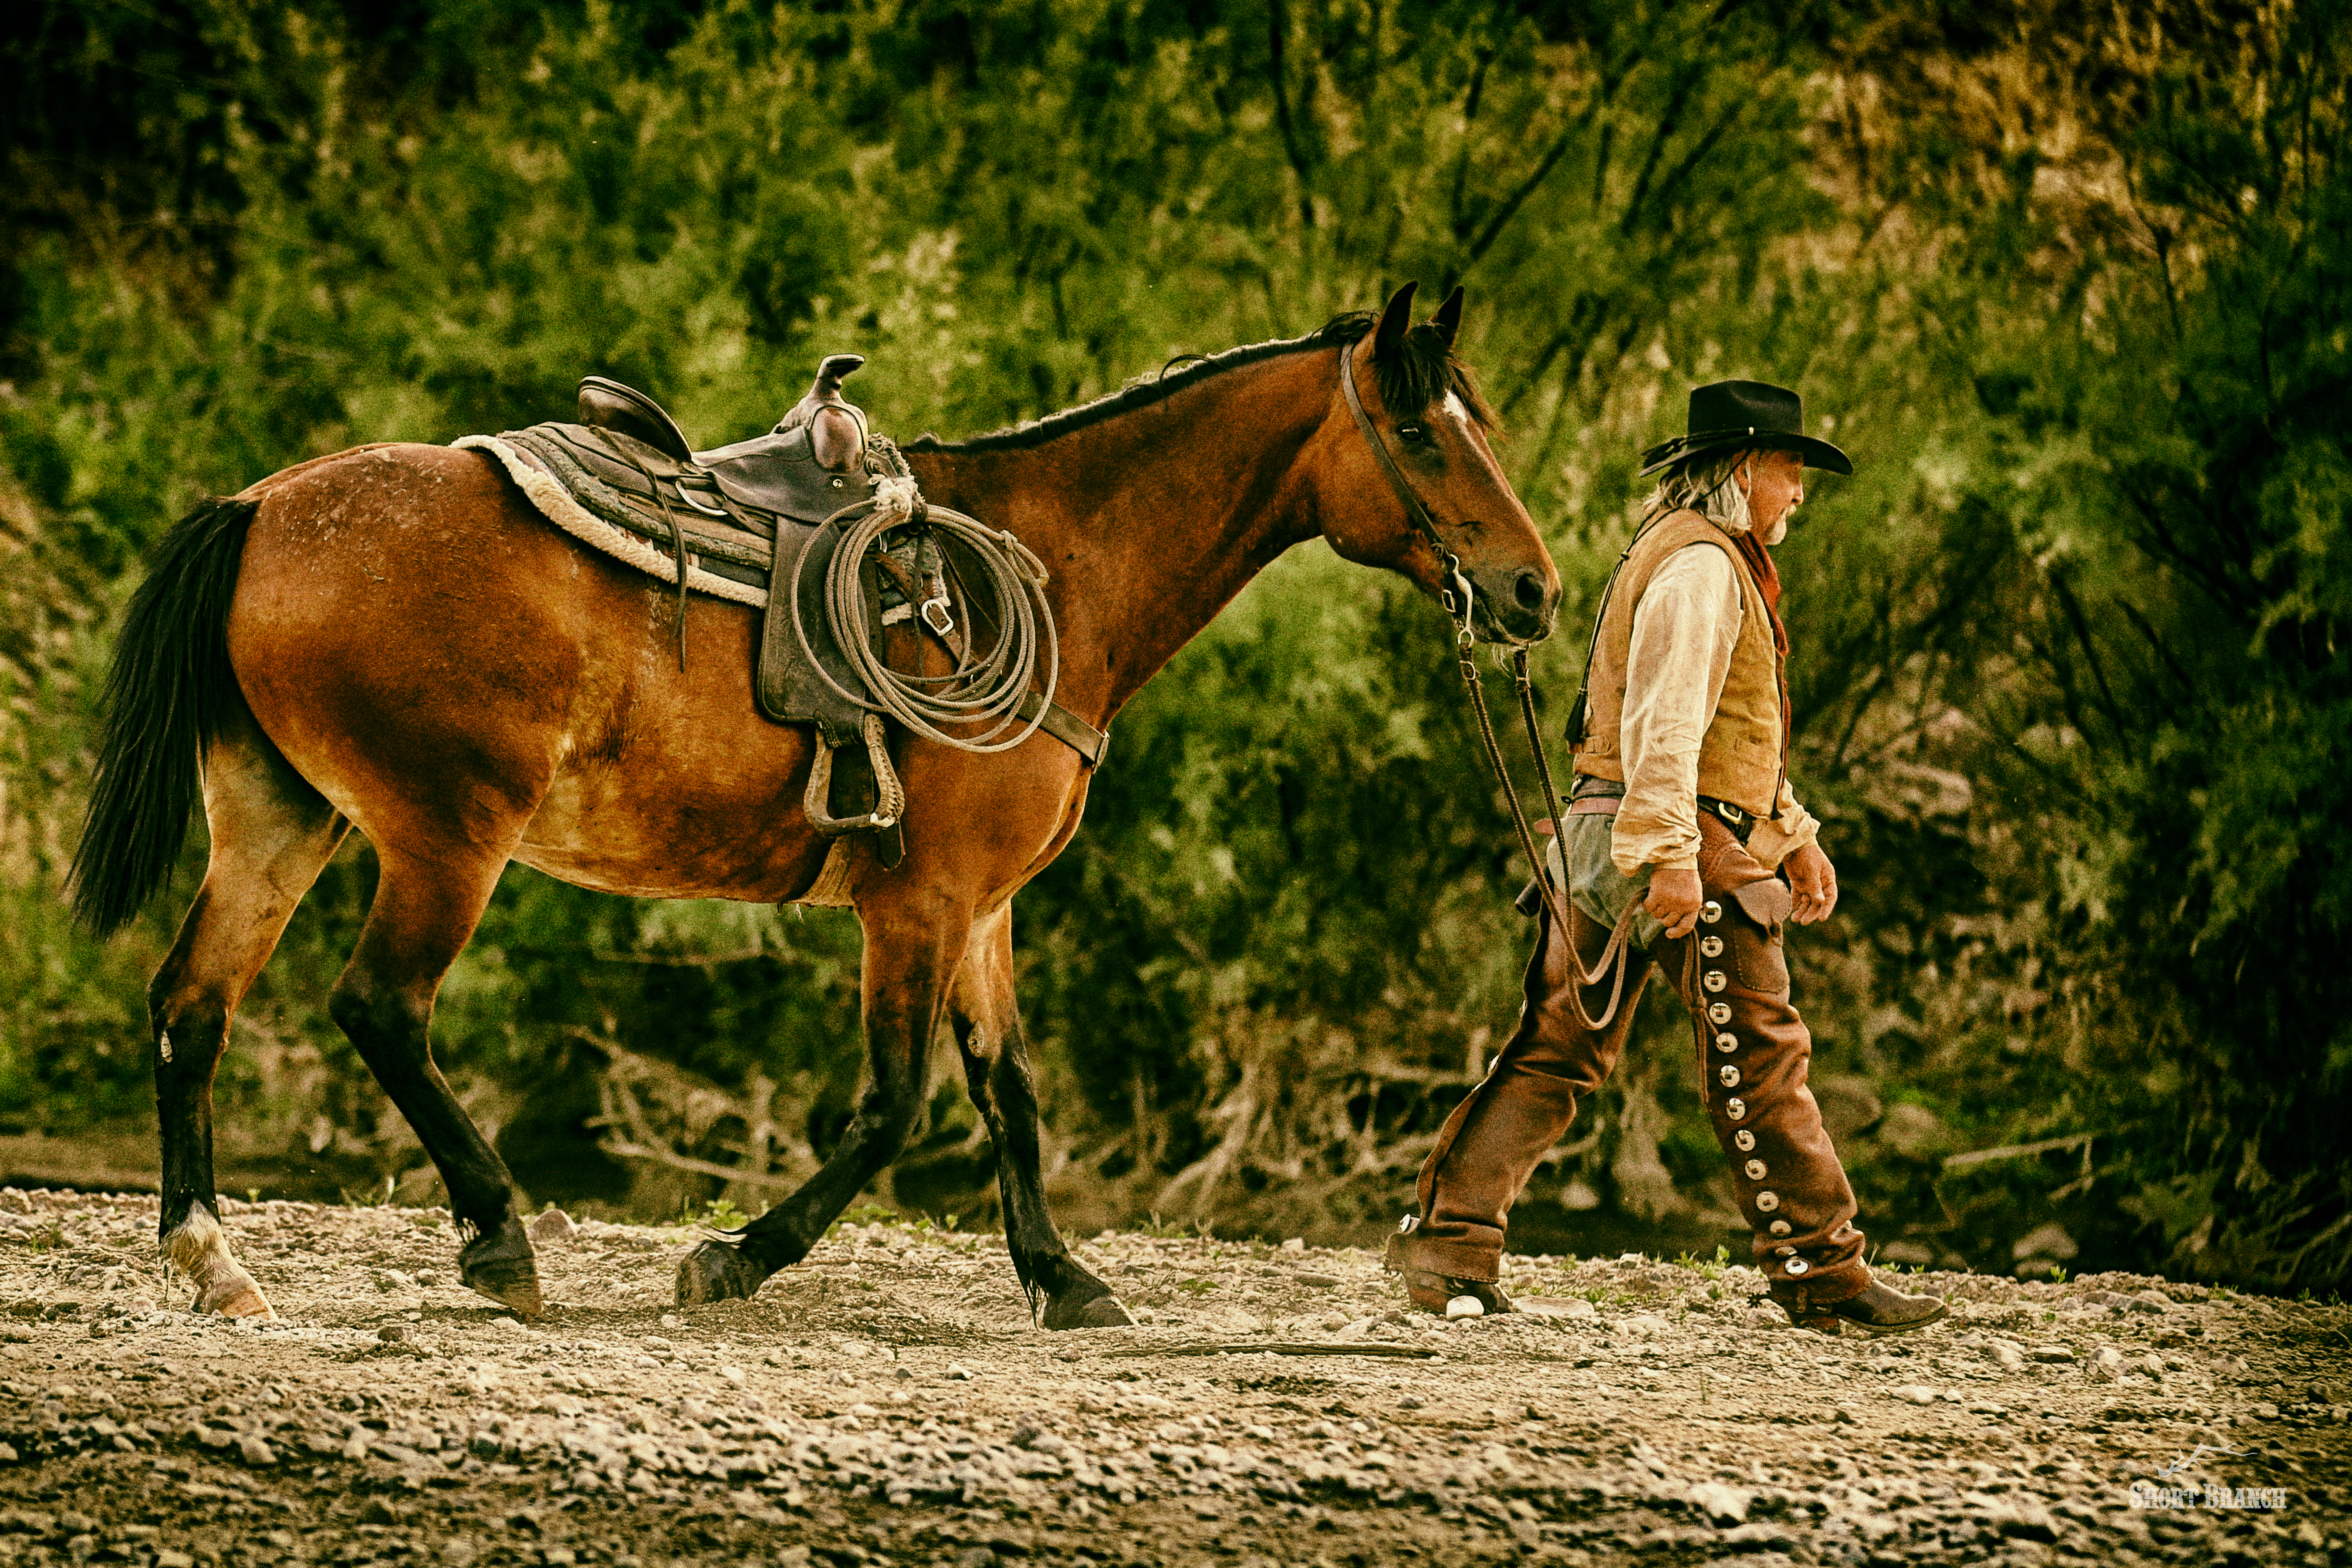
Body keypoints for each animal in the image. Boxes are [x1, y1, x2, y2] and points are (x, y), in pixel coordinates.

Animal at [68, 278, 1561, 1326]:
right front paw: (736, 1257)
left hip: (282, 819)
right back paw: (497, 1239)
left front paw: (1061, 1276)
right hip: (448, 836)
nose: (1535, 590)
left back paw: (213, 1262)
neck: (1051, 570)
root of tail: (262, 506)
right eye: (1422, 432)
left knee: (191, 1007)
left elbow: (1008, 1084)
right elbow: (897, 1102)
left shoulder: (983, 909)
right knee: (381, 1009)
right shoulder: (919, 905)